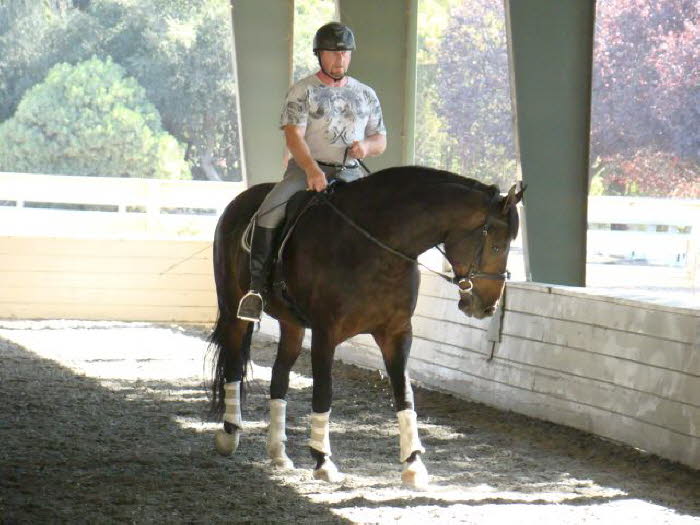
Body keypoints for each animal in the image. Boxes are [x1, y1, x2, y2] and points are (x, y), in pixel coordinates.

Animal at [209, 167, 524, 488]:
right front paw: (323, 461)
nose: (487, 307)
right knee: (233, 367)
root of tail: (240, 200)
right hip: (234, 311)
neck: (378, 246)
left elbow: (404, 394)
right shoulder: (325, 334)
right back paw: (230, 434)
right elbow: (323, 392)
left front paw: (413, 464)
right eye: (497, 246)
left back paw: (278, 454)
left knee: (279, 378)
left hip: (291, 324)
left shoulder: (396, 334)